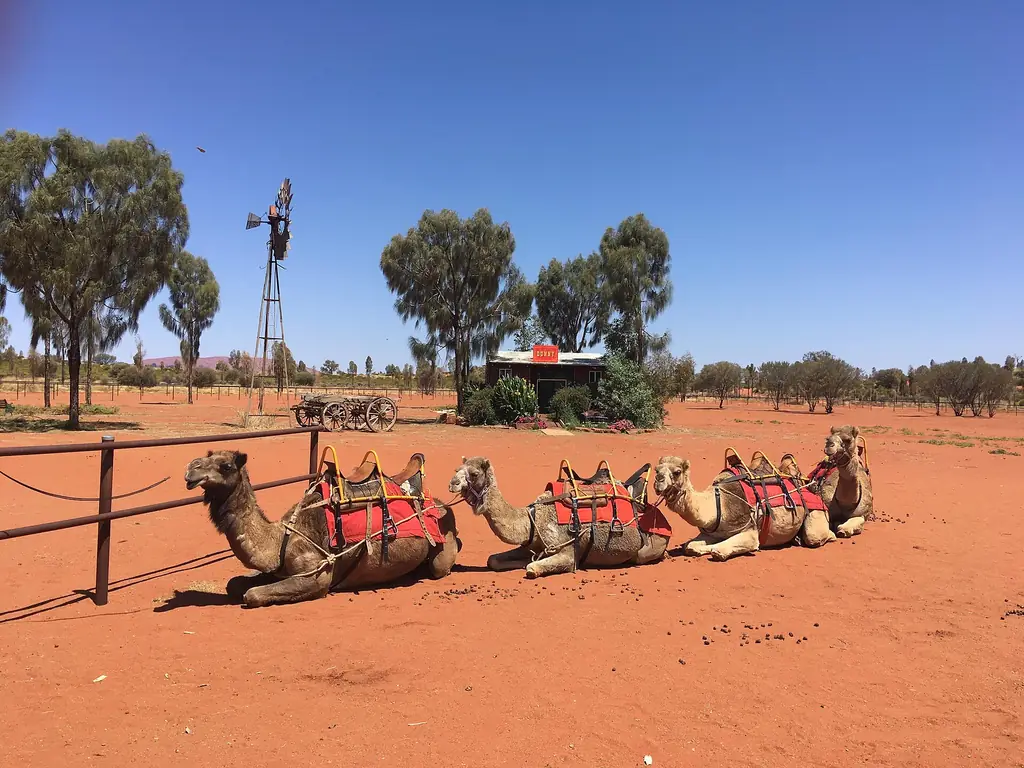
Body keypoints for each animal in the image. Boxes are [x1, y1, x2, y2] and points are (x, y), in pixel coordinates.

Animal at [185, 449, 460, 607]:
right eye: (205, 458)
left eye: (226, 466)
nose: (190, 469)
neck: (281, 538)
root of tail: (442, 504)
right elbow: (234, 585)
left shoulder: (316, 576)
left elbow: (251, 595)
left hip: (442, 544)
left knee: (441, 564)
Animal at [448, 456, 671, 578]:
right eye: (457, 469)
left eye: (474, 474)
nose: (452, 483)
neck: (533, 518)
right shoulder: (532, 543)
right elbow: (493, 560)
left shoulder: (567, 551)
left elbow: (533, 567)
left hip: (648, 547)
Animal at [652, 451, 826, 561]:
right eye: (656, 470)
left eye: (677, 472)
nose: (658, 481)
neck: (718, 504)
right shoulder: (712, 531)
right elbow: (690, 546)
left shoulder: (750, 531)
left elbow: (719, 551)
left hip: (816, 512)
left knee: (816, 536)